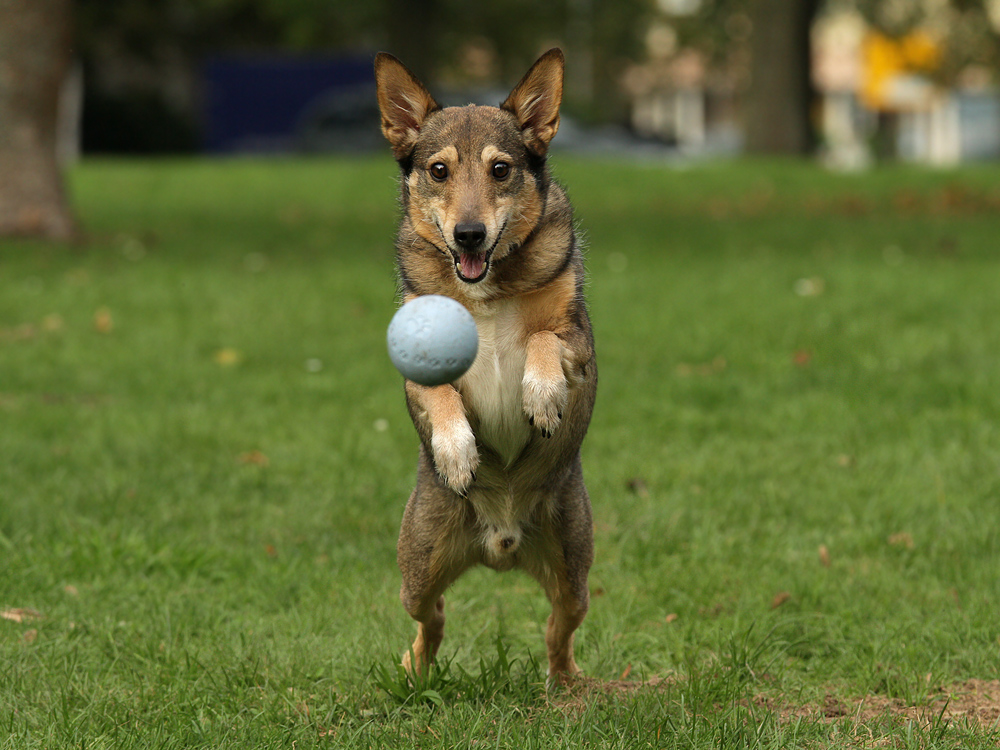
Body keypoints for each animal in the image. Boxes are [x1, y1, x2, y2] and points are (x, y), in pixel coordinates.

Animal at [374, 47, 592, 680]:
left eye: (500, 169)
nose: (469, 233)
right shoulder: (415, 370)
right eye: (438, 171)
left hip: (573, 566)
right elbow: (440, 393)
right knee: (433, 617)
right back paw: (415, 671)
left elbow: (543, 339)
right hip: (418, 567)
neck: (486, 291)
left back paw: (567, 683)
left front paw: (541, 395)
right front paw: (457, 452)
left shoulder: (578, 342)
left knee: (557, 630)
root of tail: (501, 544)